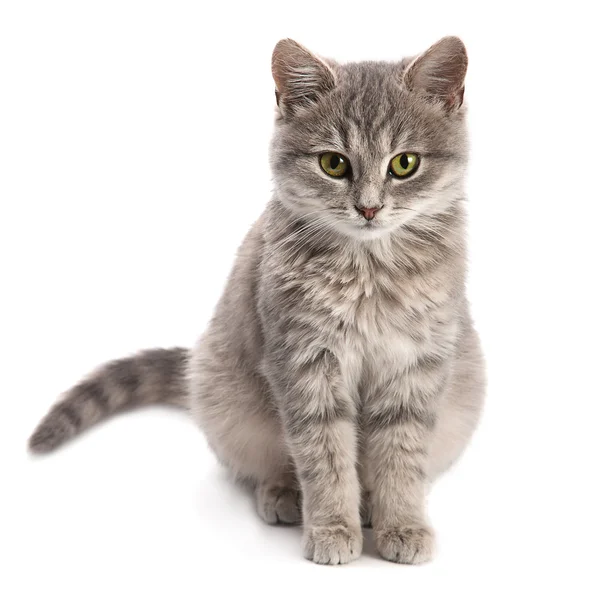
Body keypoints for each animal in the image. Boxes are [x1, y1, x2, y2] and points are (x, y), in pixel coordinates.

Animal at [30, 38, 486, 568]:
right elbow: (324, 455)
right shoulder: (306, 363)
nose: (369, 208)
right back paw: (284, 494)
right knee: (267, 463)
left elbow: (401, 458)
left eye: (404, 163)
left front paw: (403, 523)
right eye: (334, 164)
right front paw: (332, 527)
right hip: (224, 396)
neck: (369, 274)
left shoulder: (414, 367)